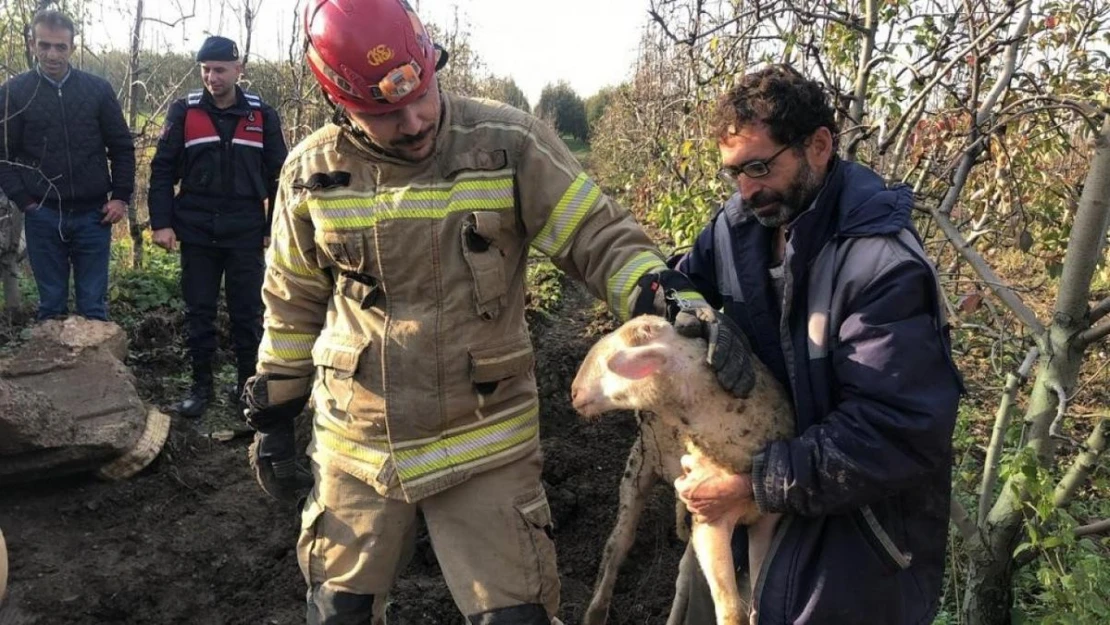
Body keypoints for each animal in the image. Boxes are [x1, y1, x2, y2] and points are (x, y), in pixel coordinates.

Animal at [572, 317, 790, 625]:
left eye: (610, 364)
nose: (573, 393)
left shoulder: (765, 517)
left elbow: (756, 593)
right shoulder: (711, 520)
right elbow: (732, 609)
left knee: (683, 572)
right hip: (640, 464)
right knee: (617, 544)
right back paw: (596, 611)